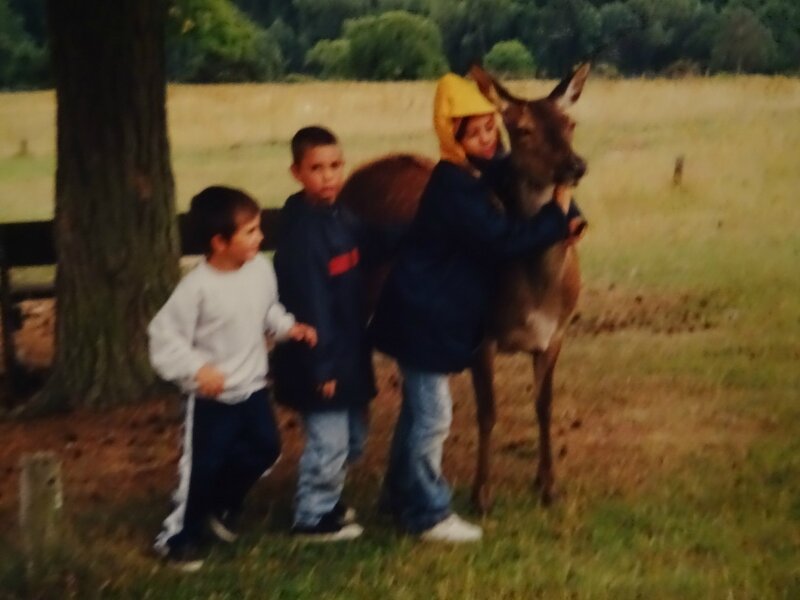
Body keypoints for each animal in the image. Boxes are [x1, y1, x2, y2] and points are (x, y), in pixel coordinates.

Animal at [334, 63, 592, 510]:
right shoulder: (480, 337)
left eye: (570, 122)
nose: (575, 166)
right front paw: (481, 494)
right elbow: (487, 411)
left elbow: (544, 405)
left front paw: (548, 485)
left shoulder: (556, 334)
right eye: (522, 129)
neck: (535, 297)